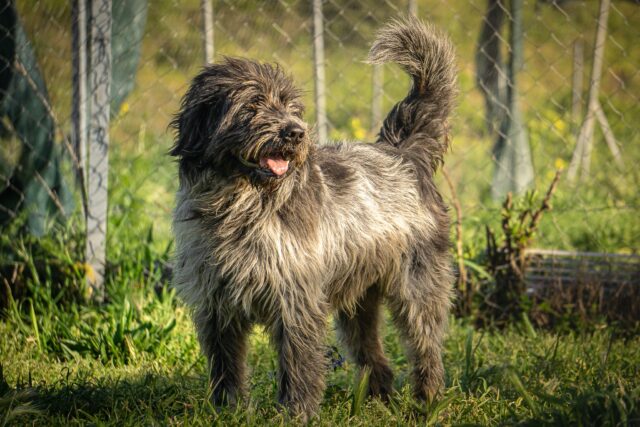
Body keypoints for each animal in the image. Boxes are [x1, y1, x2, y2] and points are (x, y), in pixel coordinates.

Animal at [171, 15, 456, 422]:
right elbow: (226, 366)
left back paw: (427, 402)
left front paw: (296, 414)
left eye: (291, 106)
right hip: (358, 301)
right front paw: (227, 411)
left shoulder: (297, 302)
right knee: (375, 357)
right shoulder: (217, 305)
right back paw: (378, 402)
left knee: (426, 348)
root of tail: (404, 153)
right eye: (253, 104)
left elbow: (299, 365)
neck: (242, 205)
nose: (295, 132)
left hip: (418, 288)